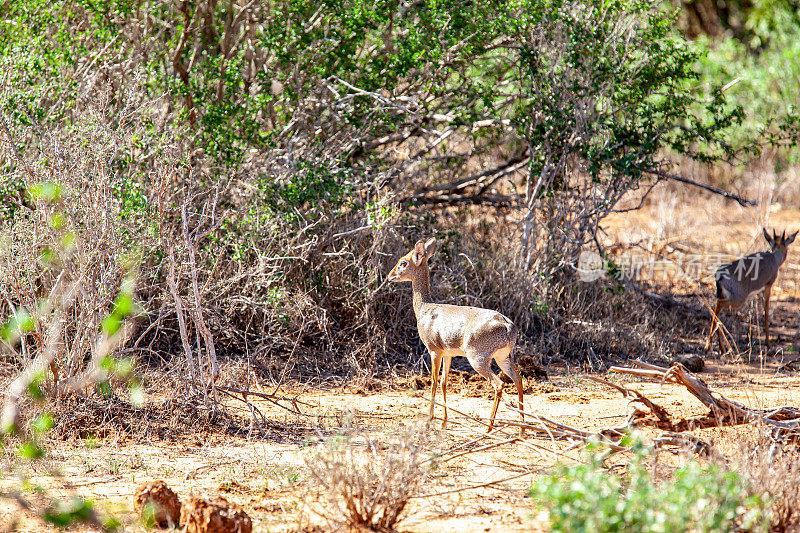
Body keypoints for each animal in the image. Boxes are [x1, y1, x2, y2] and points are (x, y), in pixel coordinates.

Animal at [388, 238, 524, 432]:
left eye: (403, 263)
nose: (389, 276)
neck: (424, 309)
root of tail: (507, 325)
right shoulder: (448, 354)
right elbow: (444, 383)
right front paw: (444, 422)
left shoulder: (434, 351)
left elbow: (433, 382)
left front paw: (429, 420)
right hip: (503, 358)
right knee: (518, 379)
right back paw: (522, 428)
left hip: (478, 360)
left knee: (499, 384)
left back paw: (488, 428)